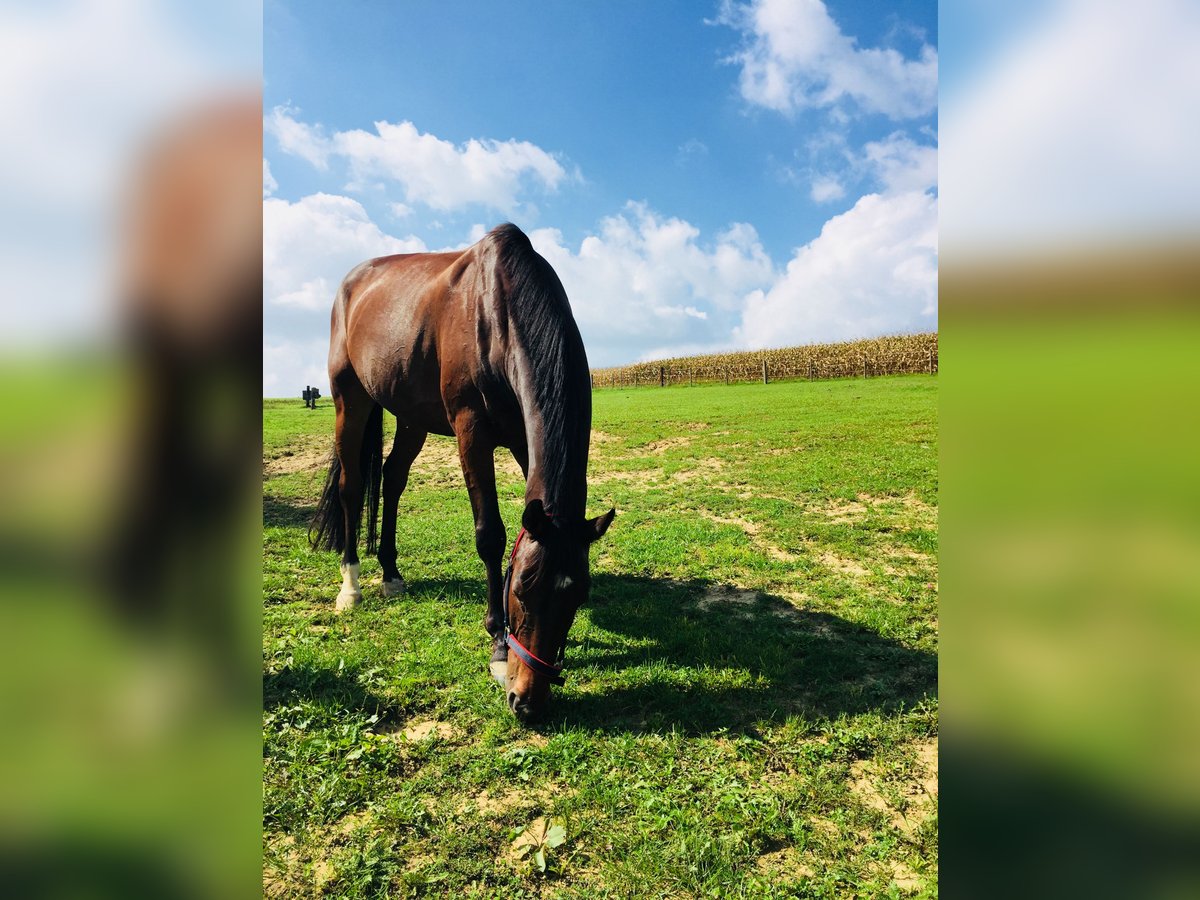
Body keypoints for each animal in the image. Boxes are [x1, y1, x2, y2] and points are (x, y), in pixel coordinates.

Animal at [309, 223, 614, 721]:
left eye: (578, 596)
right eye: (520, 591)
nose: (527, 702)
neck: (497, 314)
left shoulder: (523, 438)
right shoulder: (471, 432)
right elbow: (490, 535)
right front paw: (497, 644)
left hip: (410, 415)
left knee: (392, 479)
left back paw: (390, 573)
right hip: (348, 400)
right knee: (352, 487)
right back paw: (350, 587)